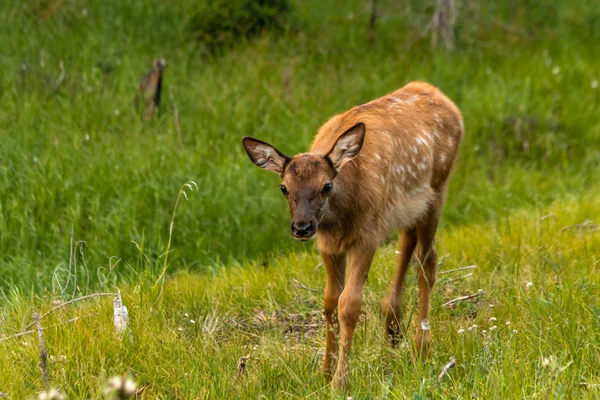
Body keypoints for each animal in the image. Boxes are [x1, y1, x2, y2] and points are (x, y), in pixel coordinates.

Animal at [241, 80, 462, 388]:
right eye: (283, 187)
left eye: (326, 186)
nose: (302, 227)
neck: (339, 220)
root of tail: (440, 95)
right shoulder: (328, 244)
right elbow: (329, 302)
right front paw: (324, 372)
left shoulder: (367, 235)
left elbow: (349, 305)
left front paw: (340, 381)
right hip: (406, 206)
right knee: (409, 242)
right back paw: (392, 325)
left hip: (437, 191)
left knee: (427, 262)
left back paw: (421, 347)